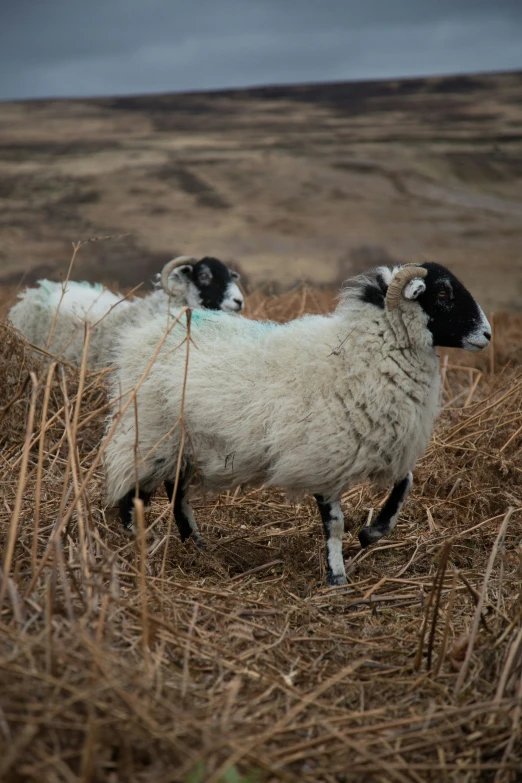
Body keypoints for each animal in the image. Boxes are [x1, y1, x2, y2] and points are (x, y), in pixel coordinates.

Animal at [103, 260, 490, 584]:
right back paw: (140, 541)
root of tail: (143, 334)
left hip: (187, 443)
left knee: (176, 492)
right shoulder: (323, 455)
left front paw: (371, 533)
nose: (486, 335)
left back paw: (196, 546)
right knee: (134, 493)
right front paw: (337, 577)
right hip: (149, 432)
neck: (361, 352)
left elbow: (405, 484)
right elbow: (334, 524)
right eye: (443, 294)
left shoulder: (384, 446)